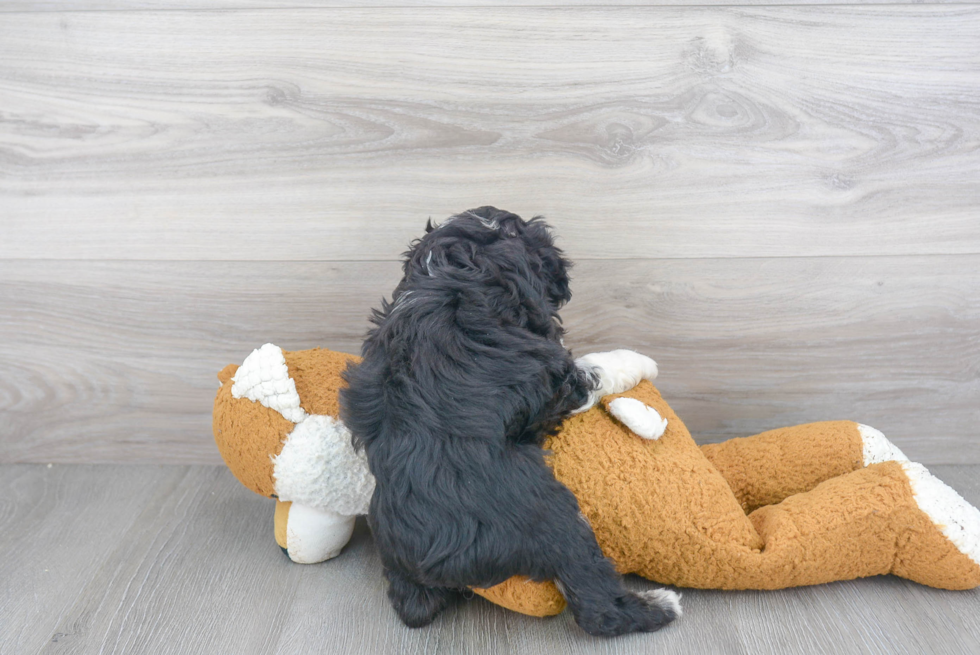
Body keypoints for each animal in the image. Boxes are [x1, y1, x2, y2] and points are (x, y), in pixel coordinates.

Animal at [340, 208, 676, 640]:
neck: (452, 275)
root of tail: (441, 562)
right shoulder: (558, 380)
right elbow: (595, 367)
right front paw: (640, 360)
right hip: (557, 522)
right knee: (595, 604)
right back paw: (661, 605)